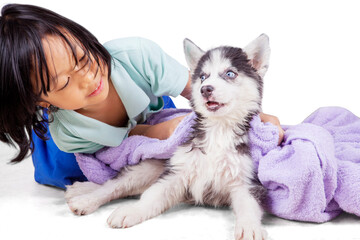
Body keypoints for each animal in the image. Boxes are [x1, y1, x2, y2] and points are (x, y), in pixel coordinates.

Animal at [66, 34, 270, 240]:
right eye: (203, 77)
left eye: (230, 74)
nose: (205, 89)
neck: (218, 130)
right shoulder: (176, 171)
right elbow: (151, 196)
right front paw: (132, 211)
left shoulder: (247, 180)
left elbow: (249, 205)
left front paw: (249, 227)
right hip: (151, 166)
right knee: (114, 184)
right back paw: (86, 197)